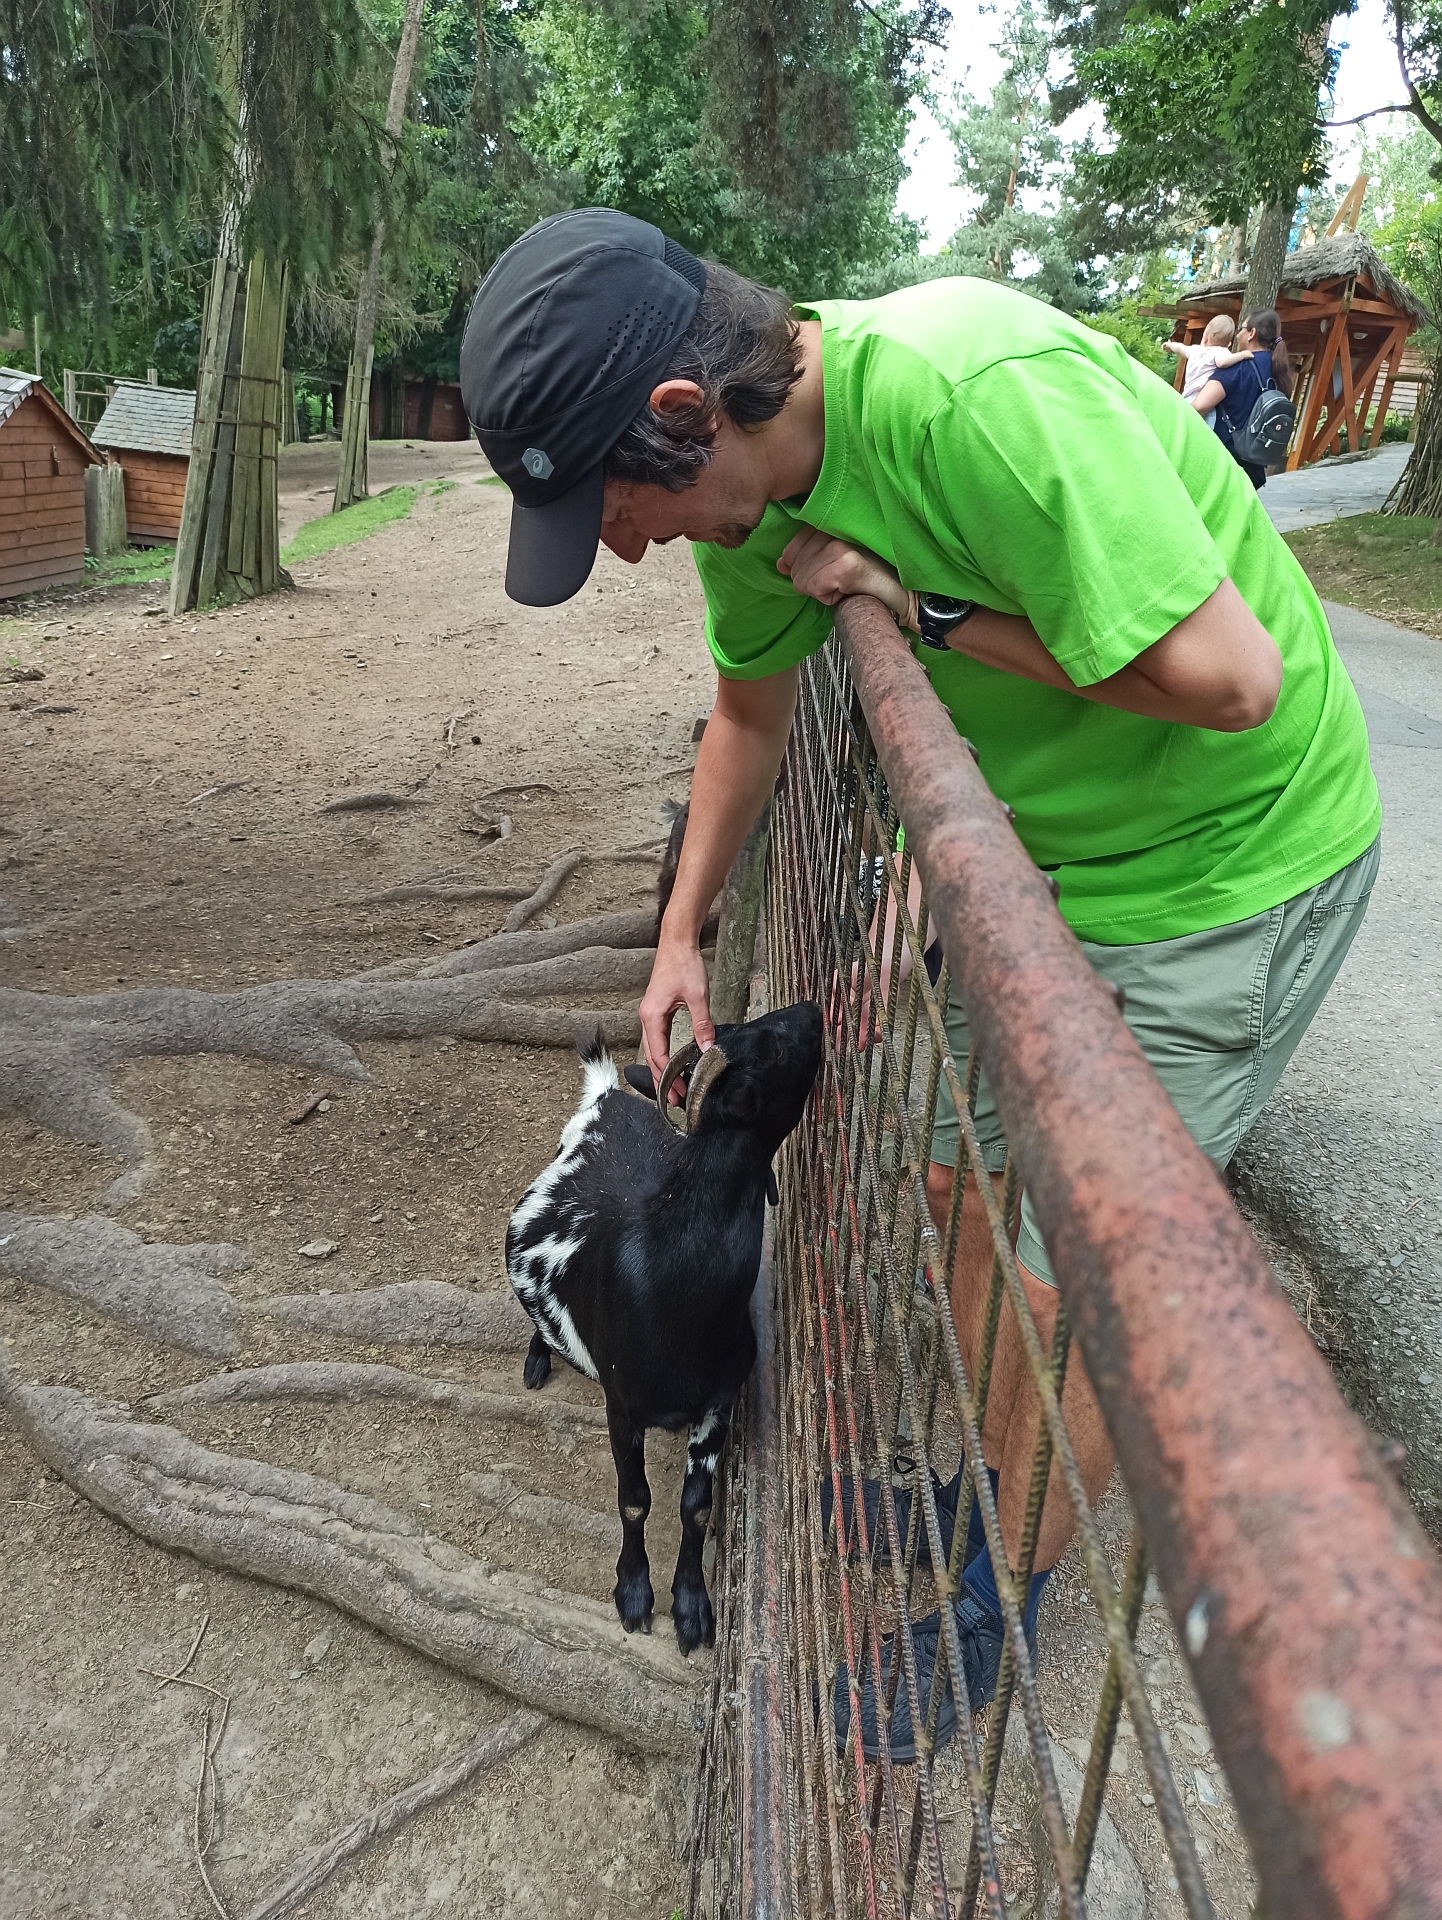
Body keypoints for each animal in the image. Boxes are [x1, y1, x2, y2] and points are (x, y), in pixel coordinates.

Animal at [505, 1001, 822, 1654]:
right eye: (773, 1048)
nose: (815, 1013)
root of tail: (608, 1095)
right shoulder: (622, 1407)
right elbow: (634, 1502)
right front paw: (633, 1593)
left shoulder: (719, 1402)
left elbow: (695, 1507)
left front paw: (692, 1606)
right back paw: (538, 1358)